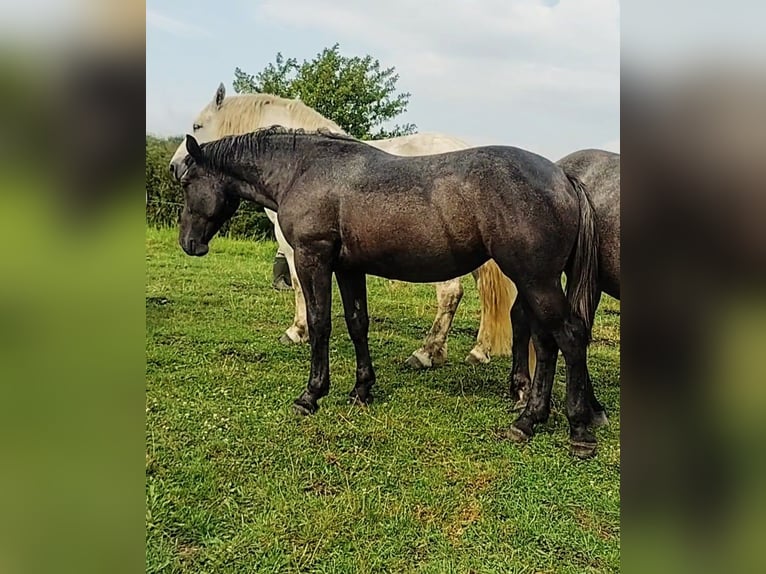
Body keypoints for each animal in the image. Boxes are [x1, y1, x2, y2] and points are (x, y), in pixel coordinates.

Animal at [172, 84, 536, 374]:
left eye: (197, 125)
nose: (175, 167)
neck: (298, 165)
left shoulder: (294, 246)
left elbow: (298, 286)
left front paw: (297, 331)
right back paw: (478, 350)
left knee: (450, 294)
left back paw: (426, 353)